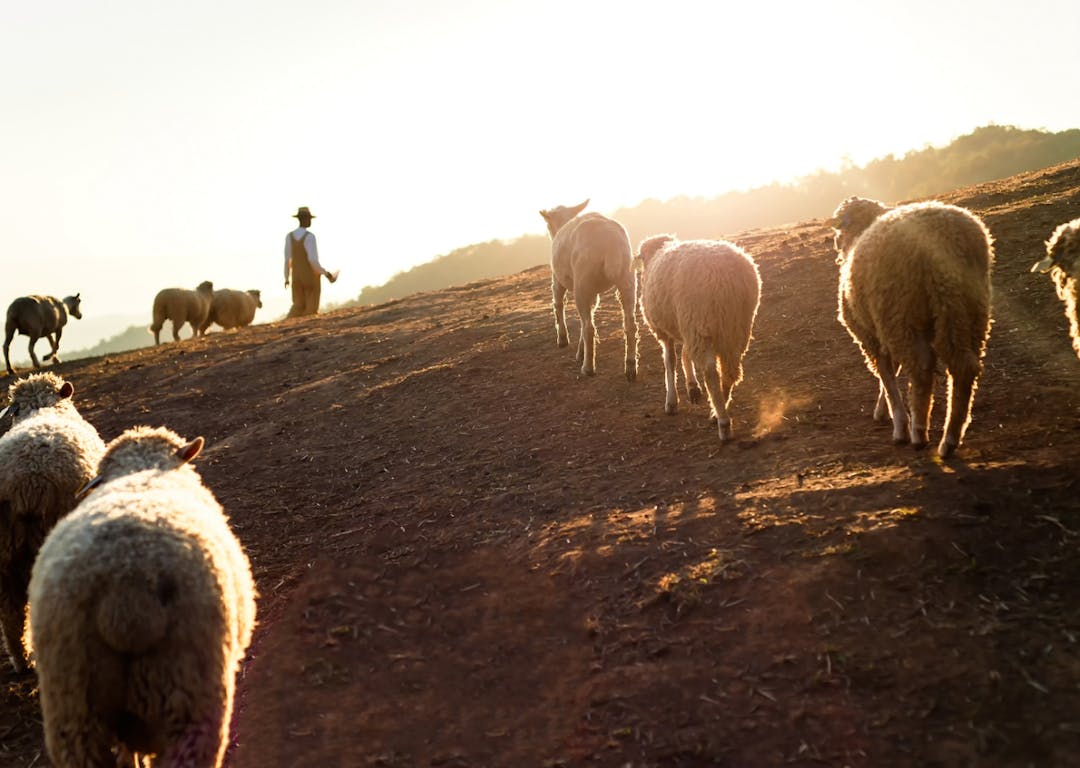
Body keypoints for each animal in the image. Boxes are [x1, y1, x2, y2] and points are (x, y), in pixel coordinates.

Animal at [539, 200, 639, 381]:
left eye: (548, 225)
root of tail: (610, 243)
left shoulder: (557, 278)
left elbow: (558, 304)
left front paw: (563, 339)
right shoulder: (593, 292)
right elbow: (590, 313)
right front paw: (581, 351)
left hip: (582, 283)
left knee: (589, 327)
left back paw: (588, 368)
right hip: (627, 278)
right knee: (630, 324)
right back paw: (630, 366)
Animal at [635, 235, 761, 443]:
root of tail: (725, 277)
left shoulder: (666, 331)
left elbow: (670, 361)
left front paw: (671, 402)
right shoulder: (684, 326)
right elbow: (684, 354)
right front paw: (692, 387)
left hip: (699, 320)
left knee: (711, 373)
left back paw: (723, 424)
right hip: (736, 326)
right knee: (730, 371)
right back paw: (717, 411)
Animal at [830, 197, 994, 458]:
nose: (836, 245)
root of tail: (944, 238)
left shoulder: (870, 336)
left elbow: (887, 377)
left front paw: (898, 423)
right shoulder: (880, 335)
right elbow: (890, 374)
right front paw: (882, 410)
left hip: (899, 314)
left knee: (922, 369)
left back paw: (918, 432)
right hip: (969, 309)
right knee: (964, 367)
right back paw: (950, 439)